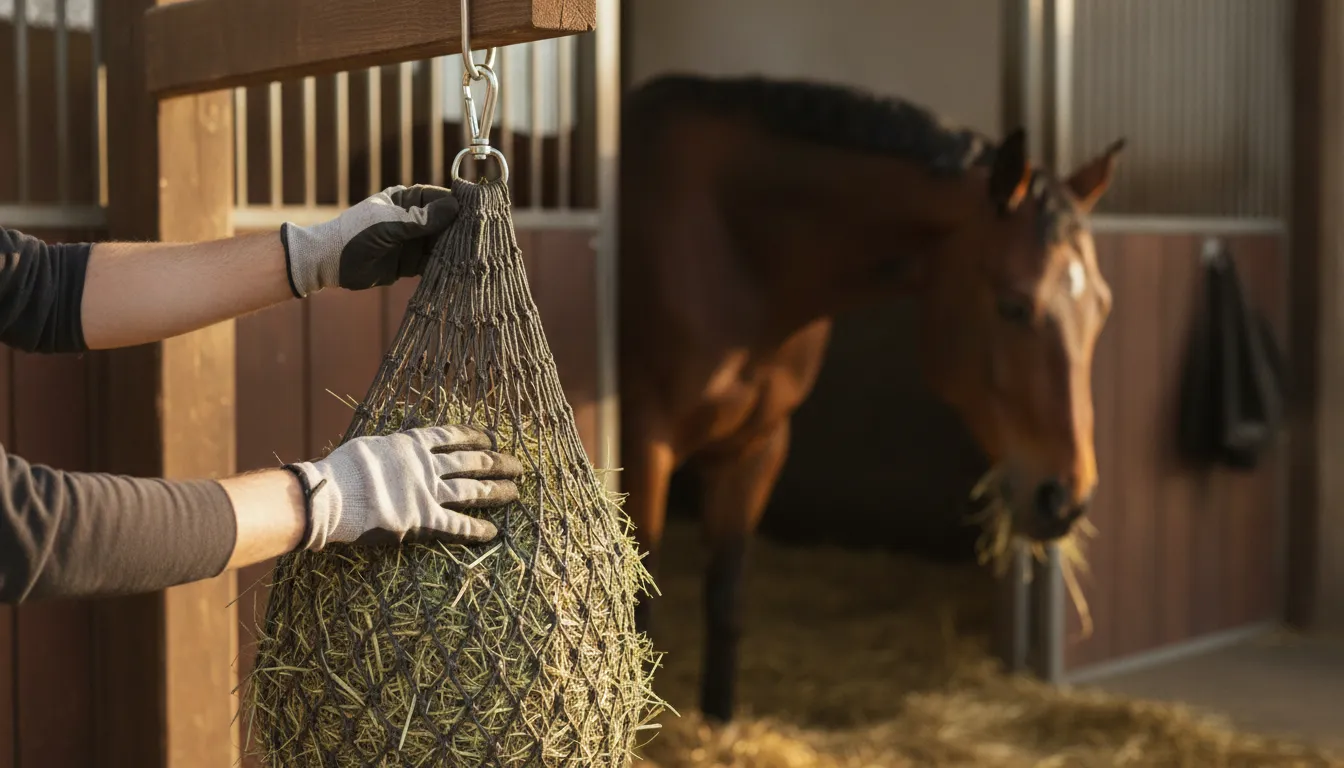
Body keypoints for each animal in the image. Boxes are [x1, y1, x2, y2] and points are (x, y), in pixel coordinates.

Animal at [617, 74, 1124, 723]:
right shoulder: (641, 442)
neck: (733, 245)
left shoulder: (759, 443)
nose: (1066, 499)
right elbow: (637, 610)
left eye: (1102, 307)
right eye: (1013, 305)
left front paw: (719, 727)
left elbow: (726, 598)